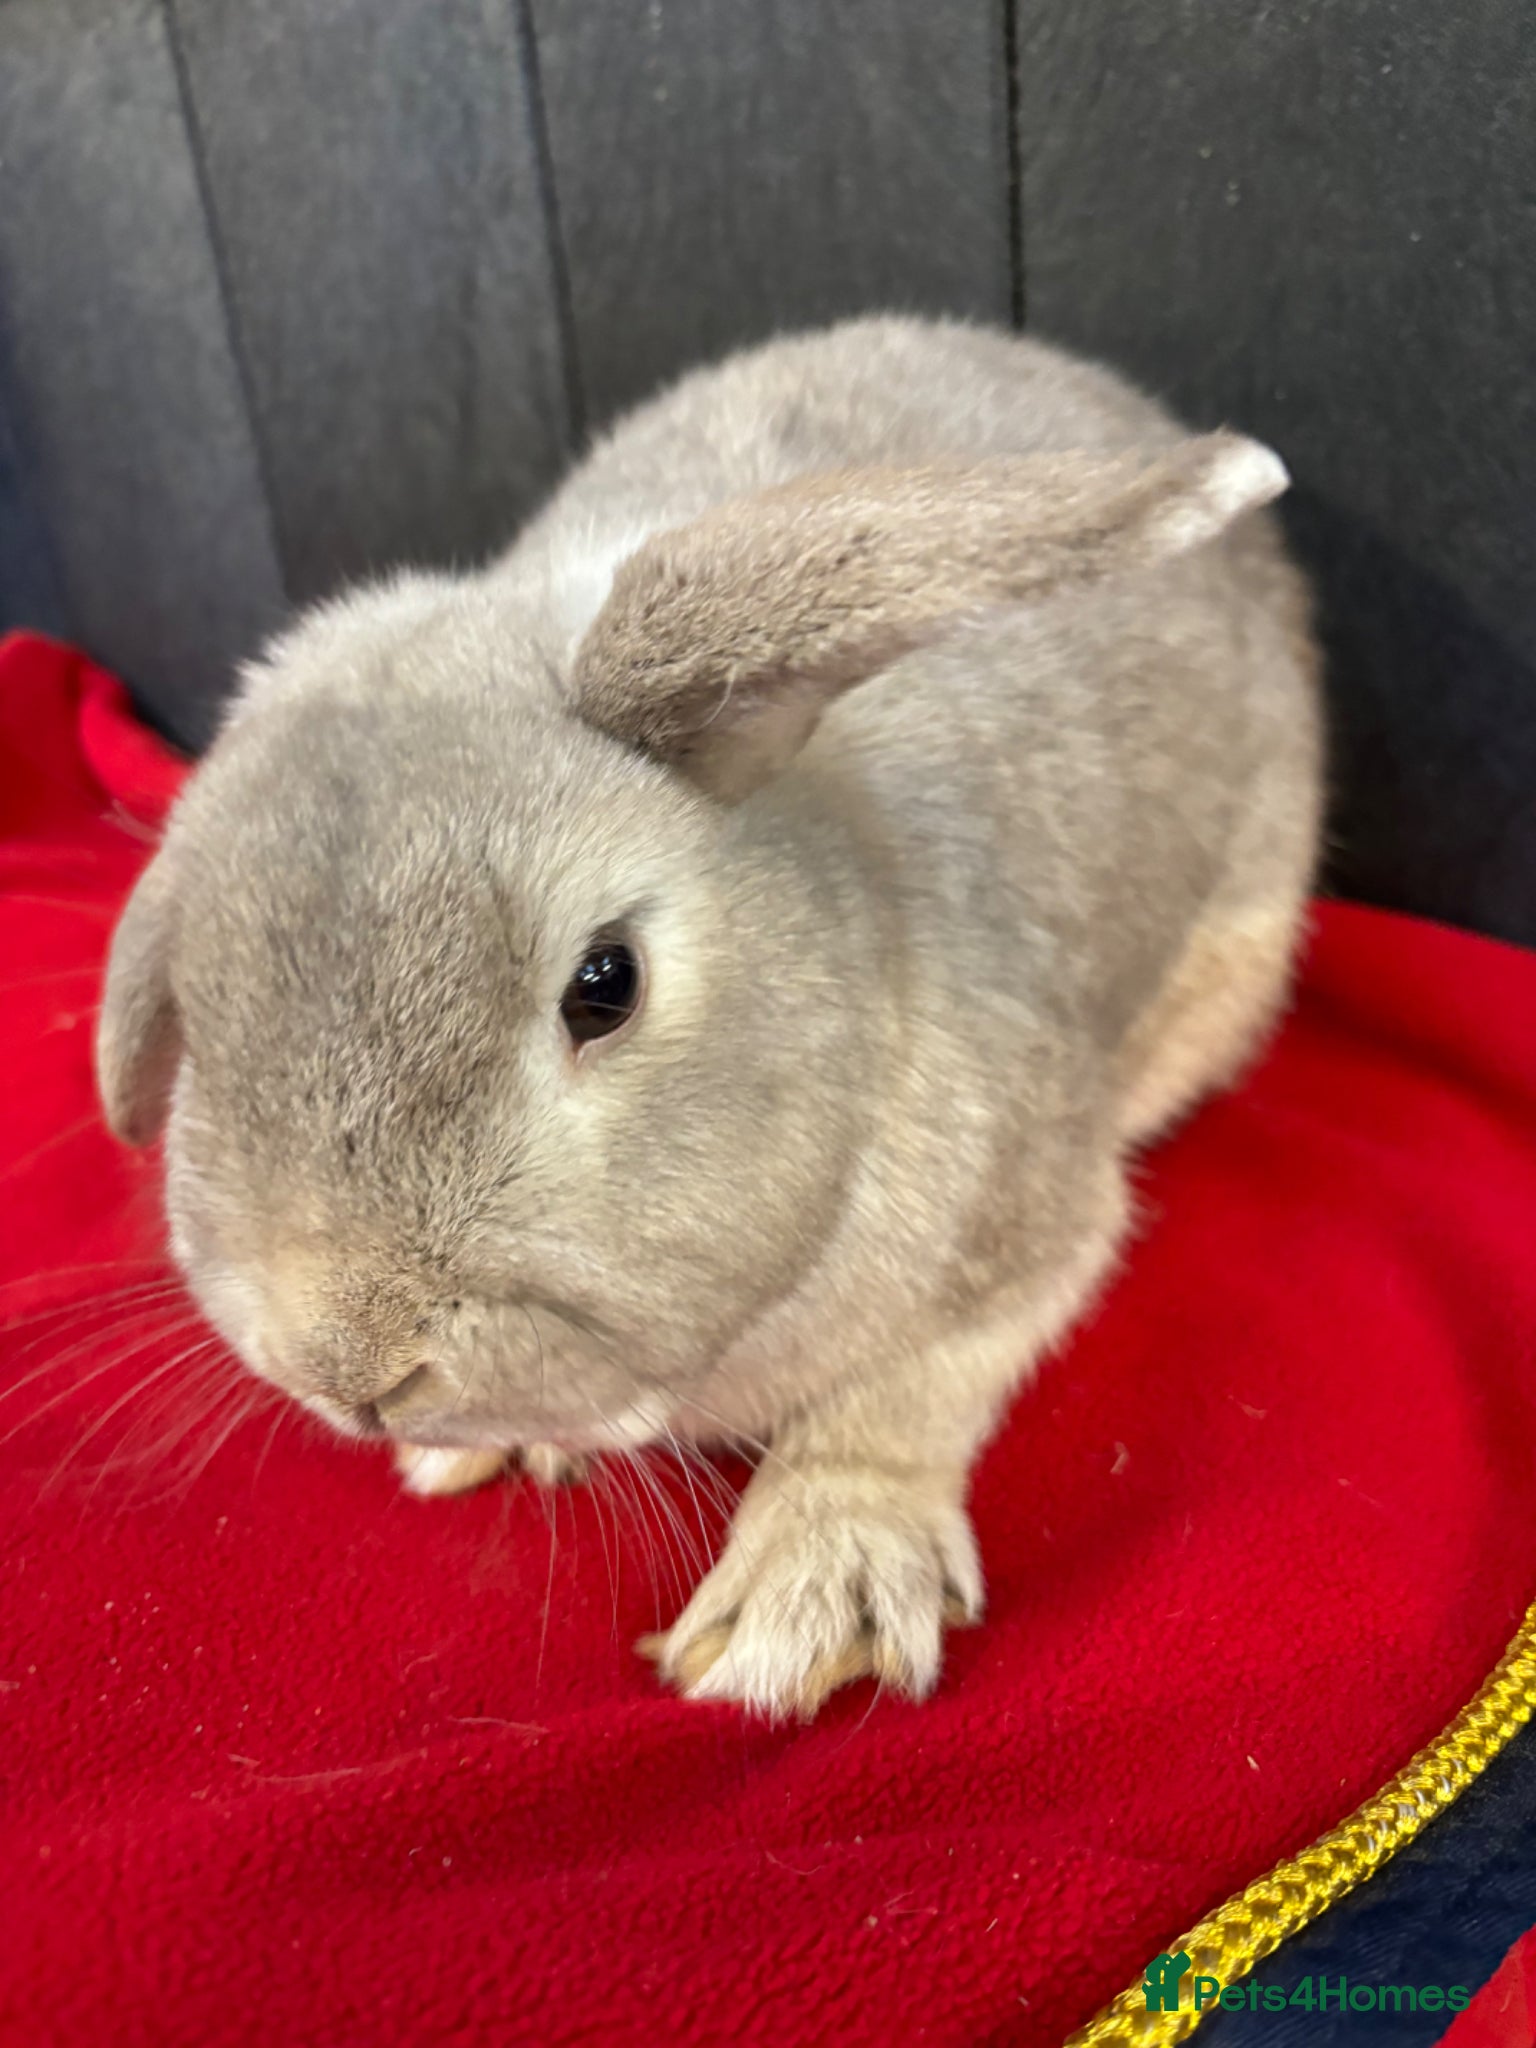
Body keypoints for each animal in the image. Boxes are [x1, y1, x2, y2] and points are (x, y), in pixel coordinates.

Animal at [96, 315, 1322, 1719]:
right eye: (207, 1012)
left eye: (605, 982)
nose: (349, 1366)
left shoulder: (1031, 1219)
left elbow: (906, 1390)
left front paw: (812, 1600)